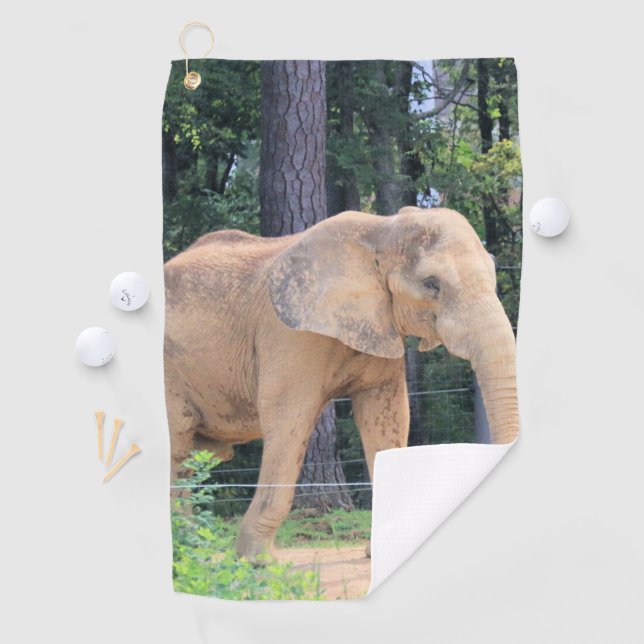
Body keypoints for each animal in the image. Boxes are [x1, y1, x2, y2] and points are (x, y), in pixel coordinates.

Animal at [164, 206, 519, 560]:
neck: (382, 231)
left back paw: (192, 547)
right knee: (176, 448)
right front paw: (257, 561)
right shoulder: (288, 334)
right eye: (432, 284)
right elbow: (288, 419)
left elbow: (387, 418)